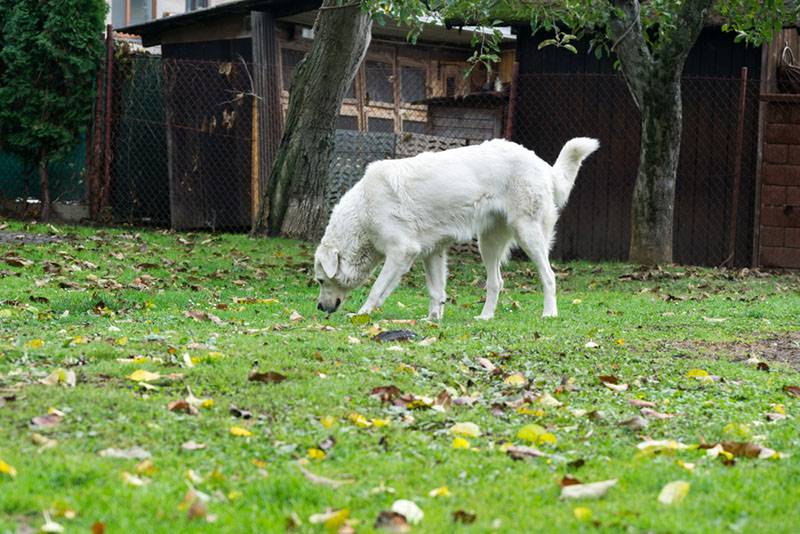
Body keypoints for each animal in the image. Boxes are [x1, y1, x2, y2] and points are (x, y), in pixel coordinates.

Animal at [316, 139, 596, 322]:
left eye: (320, 280)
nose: (318, 307)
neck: (363, 210)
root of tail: (542, 164)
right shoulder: (432, 253)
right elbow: (436, 291)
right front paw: (432, 319)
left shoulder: (401, 253)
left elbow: (376, 289)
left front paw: (362, 314)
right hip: (488, 245)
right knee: (496, 282)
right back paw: (485, 317)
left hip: (528, 235)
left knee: (549, 276)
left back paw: (549, 313)